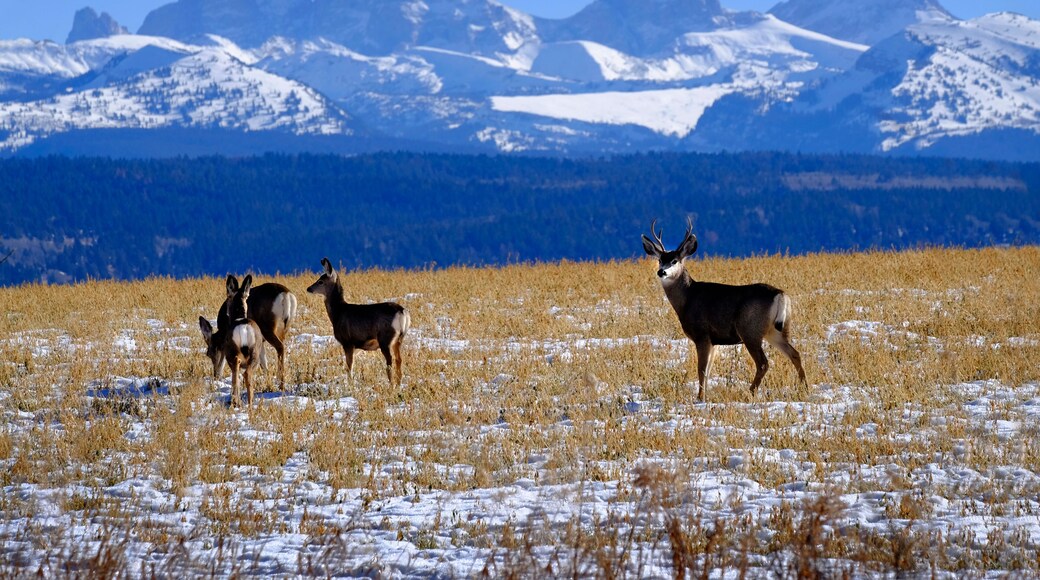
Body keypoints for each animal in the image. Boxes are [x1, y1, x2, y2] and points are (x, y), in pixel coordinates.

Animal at [199, 274, 263, 406]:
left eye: (208, 353)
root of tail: (243, 328)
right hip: (255, 353)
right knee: (247, 374)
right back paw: (249, 404)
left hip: (232, 353)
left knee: (238, 372)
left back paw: (236, 401)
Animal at [307, 257, 410, 387]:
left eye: (320, 281)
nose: (308, 288)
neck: (338, 313)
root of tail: (402, 312)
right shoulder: (356, 345)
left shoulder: (347, 341)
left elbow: (349, 366)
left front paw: (350, 385)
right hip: (399, 338)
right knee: (399, 359)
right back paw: (399, 385)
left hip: (385, 338)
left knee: (390, 361)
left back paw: (391, 386)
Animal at [642, 219, 807, 402]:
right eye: (659, 260)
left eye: (675, 260)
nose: (661, 271)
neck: (687, 299)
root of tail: (780, 294)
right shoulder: (714, 341)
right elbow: (708, 371)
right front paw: (704, 395)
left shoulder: (702, 334)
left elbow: (701, 369)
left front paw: (700, 398)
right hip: (776, 330)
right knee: (795, 354)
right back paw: (804, 388)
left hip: (750, 330)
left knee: (763, 363)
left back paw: (750, 392)